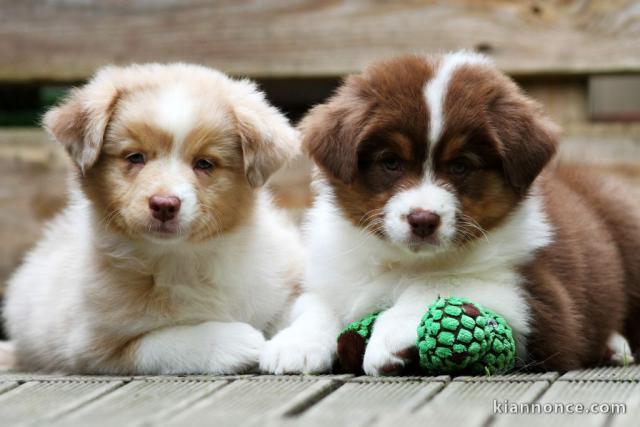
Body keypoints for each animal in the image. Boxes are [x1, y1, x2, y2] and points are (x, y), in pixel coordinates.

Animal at [1, 63, 302, 374]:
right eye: (135, 157)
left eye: (204, 163)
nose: (164, 205)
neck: (184, 259)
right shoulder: (92, 344)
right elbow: (160, 341)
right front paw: (236, 341)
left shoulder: (281, 281)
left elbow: (302, 307)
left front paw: (293, 346)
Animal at [258, 51, 640, 376]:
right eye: (391, 162)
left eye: (460, 166)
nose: (423, 220)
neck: (403, 260)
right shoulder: (332, 273)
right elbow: (314, 304)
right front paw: (295, 344)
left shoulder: (543, 302)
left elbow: (439, 281)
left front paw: (390, 336)